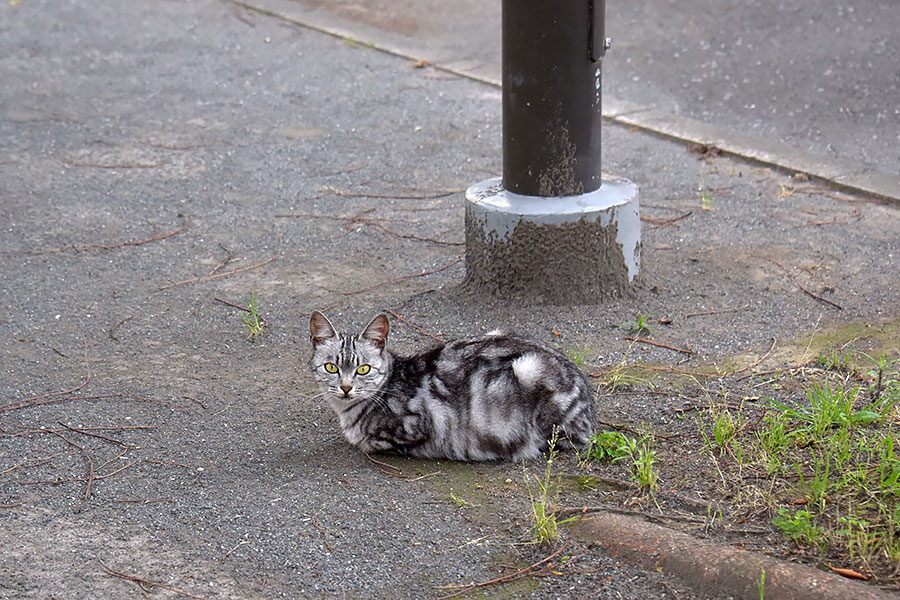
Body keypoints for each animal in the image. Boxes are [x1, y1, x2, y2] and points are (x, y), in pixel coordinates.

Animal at [310, 312, 596, 462]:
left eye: (363, 369)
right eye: (332, 368)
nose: (346, 387)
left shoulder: (420, 426)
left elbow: (373, 442)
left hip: (530, 370)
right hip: (499, 332)